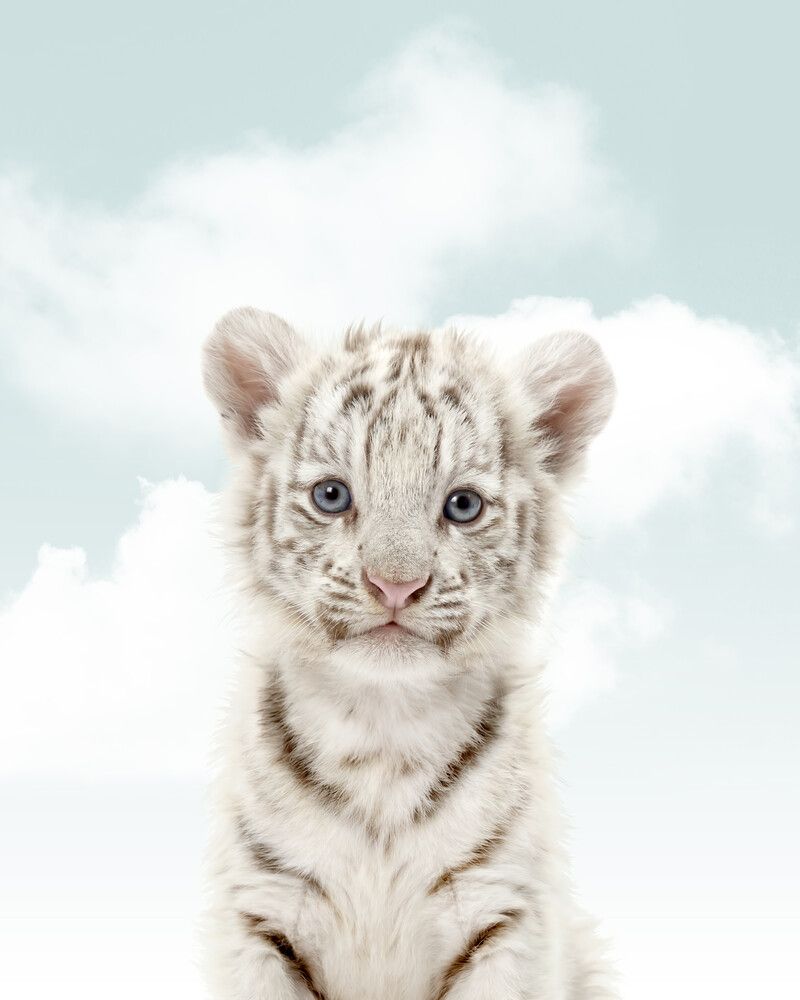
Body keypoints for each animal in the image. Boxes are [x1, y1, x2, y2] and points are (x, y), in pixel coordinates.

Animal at [201, 306, 617, 1000]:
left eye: (463, 505)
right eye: (332, 496)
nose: (395, 584)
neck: (382, 727)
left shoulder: (505, 915)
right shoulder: (260, 913)